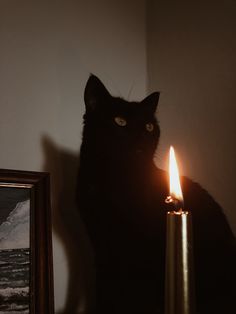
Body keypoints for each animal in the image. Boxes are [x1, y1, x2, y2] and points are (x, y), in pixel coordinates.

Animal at [77, 75, 236, 312]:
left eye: (149, 126)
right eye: (120, 121)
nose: (143, 136)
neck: (115, 180)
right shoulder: (102, 244)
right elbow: (105, 291)